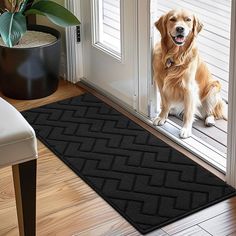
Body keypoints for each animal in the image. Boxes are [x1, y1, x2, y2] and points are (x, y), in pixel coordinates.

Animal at [152, 8, 226, 138]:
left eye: (188, 20)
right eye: (172, 19)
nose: (180, 28)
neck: (174, 57)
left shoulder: (189, 88)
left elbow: (188, 112)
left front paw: (186, 129)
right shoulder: (161, 84)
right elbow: (165, 103)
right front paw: (162, 116)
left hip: (213, 88)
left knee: (210, 112)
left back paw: (209, 120)